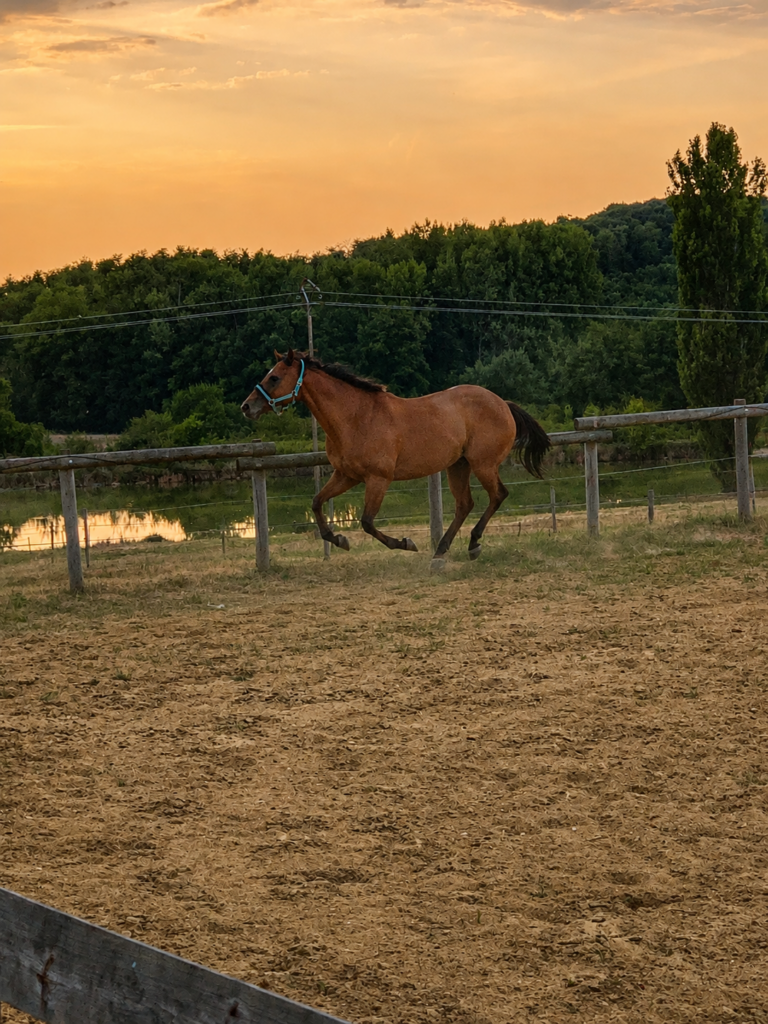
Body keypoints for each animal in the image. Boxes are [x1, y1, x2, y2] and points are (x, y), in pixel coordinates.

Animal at [241, 350, 551, 560]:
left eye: (274, 377)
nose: (247, 407)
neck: (356, 418)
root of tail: (503, 403)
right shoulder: (346, 476)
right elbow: (317, 502)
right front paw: (339, 539)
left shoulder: (378, 479)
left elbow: (367, 522)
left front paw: (406, 543)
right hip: (458, 465)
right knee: (465, 504)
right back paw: (442, 549)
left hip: (482, 464)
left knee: (498, 495)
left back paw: (473, 544)